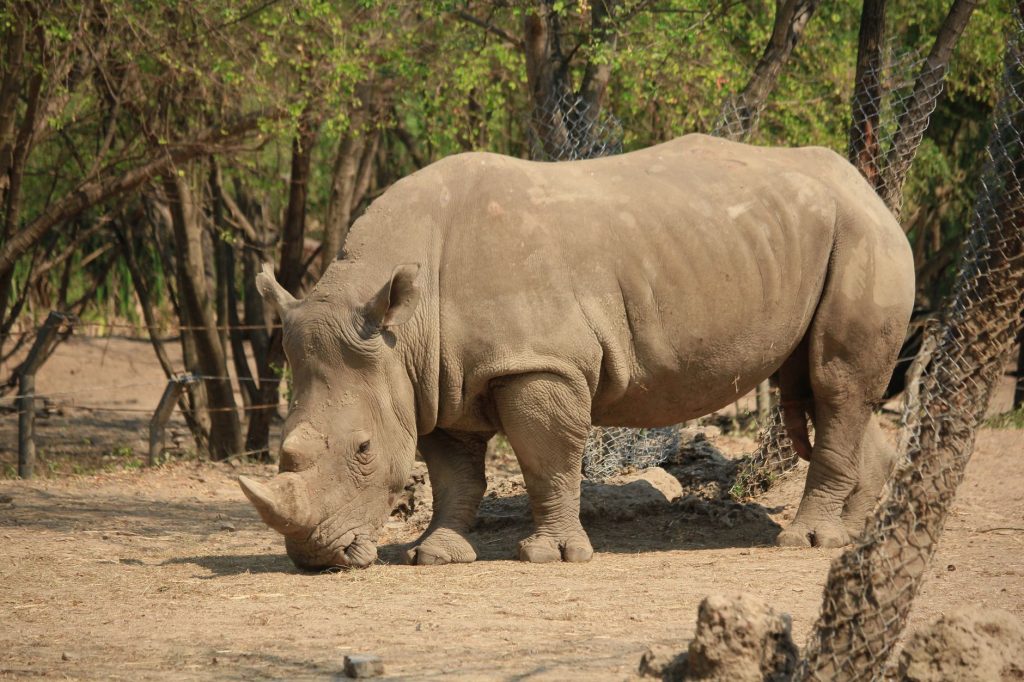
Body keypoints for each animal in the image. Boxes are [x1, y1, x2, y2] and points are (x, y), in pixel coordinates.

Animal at [238, 134, 914, 569]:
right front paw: (437, 554)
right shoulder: (435, 375)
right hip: (811, 241)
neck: (401, 322)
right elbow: (455, 471)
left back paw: (805, 543)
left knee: (834, 383)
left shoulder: (539, 362)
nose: (314, 557)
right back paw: (853, 536)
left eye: (362, 451)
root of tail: (866, 188)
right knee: (822, 392)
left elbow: (548, 458)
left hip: (864, 237)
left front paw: (552, 555)